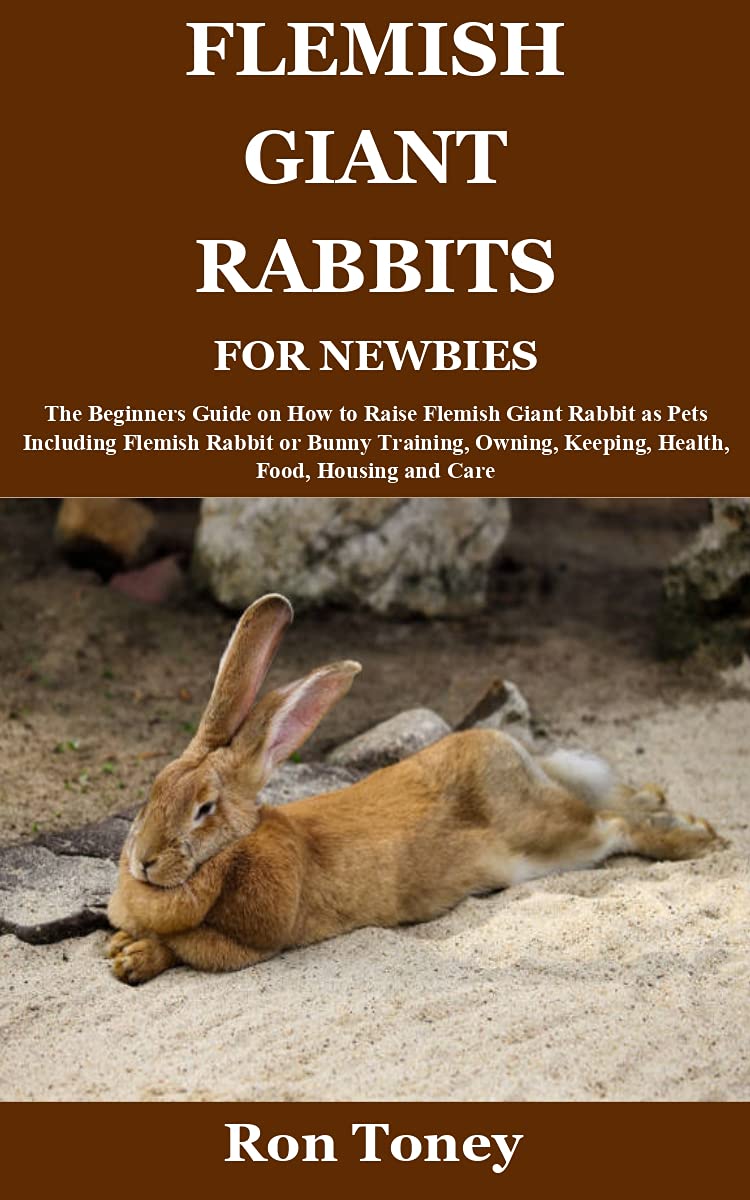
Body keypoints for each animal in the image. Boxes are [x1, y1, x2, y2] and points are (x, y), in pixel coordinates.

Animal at [106, 593, 722, 985]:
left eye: (204, 809)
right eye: (149, 795)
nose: (143, 862)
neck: (233, 849)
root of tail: (508, 749)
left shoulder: (254, 936)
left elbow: (187, 947)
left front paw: (131, 958)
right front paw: (119, 947)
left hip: (553, 840)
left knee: (612, 828)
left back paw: (696, 838)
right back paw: (662, 802)